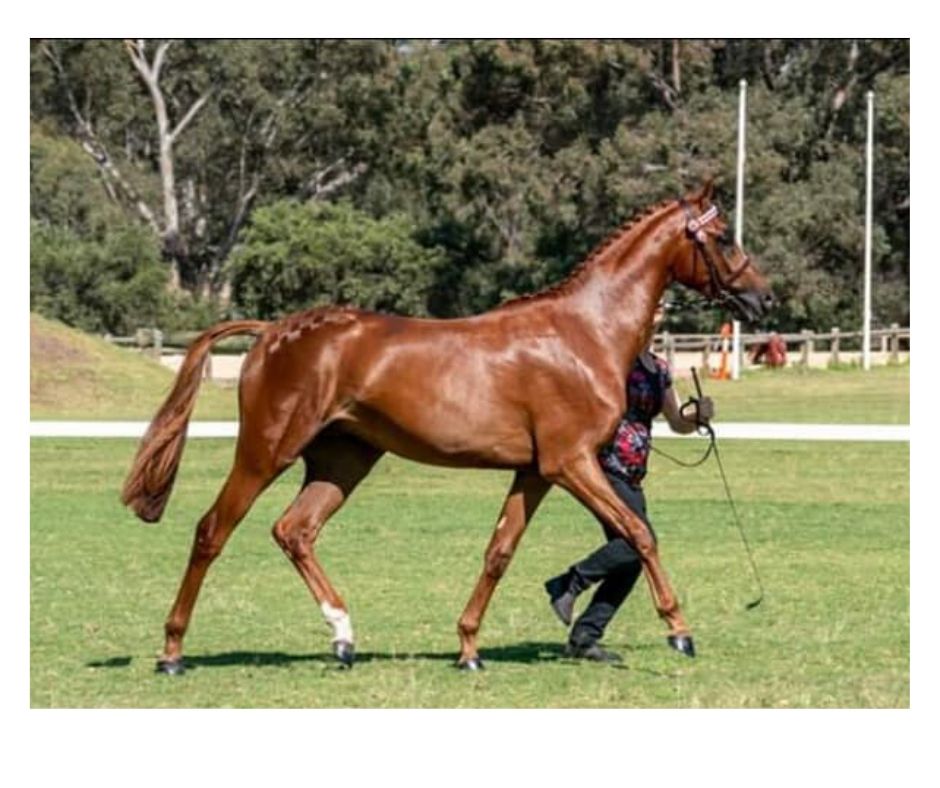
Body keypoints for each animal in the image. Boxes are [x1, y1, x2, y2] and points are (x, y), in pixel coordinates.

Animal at [123, 182, 772, 676]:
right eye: (722, 236)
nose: (762, 299)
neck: (583, 333)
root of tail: (272, 332)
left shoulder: (536, 472)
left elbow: (499, 552)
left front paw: (468, 648)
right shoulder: (571, 462)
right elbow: (639, 534)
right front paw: (679, 630)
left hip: (342, 460)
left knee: (295, 531)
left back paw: (343, 636)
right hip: (265, 453)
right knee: (212, 532)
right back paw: (172, 652)